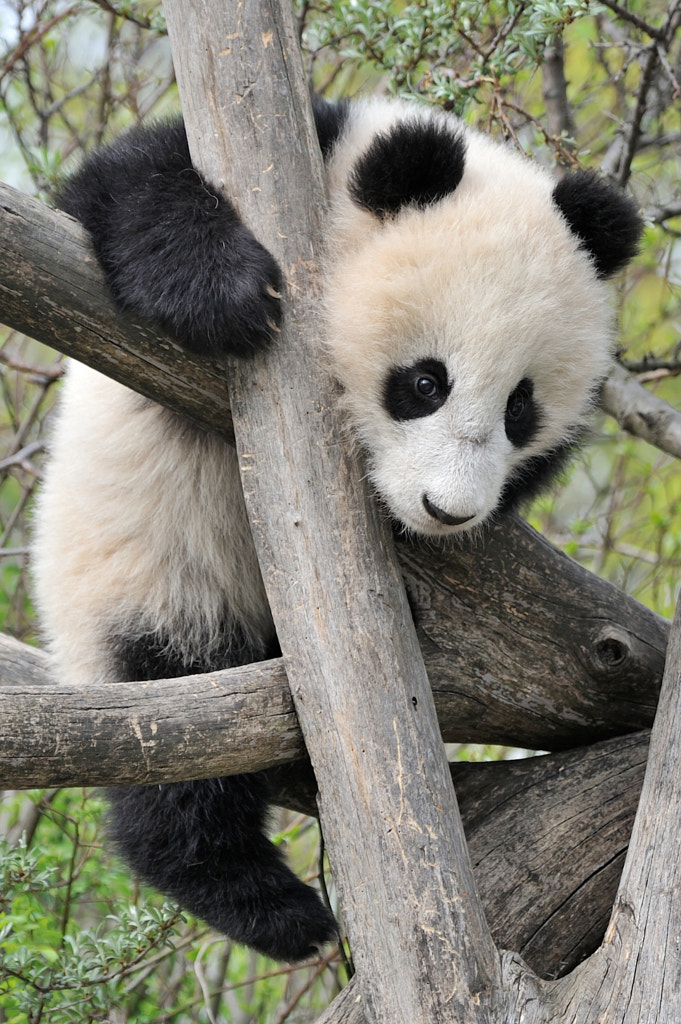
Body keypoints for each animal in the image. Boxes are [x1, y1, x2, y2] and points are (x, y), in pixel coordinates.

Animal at [32, 95, 642, 962]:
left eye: (520, 409)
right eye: (424, 383)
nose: (446, 510)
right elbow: (124, 185)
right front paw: (227, 296)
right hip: (143, 581)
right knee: (170, 736)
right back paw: (269, 905)